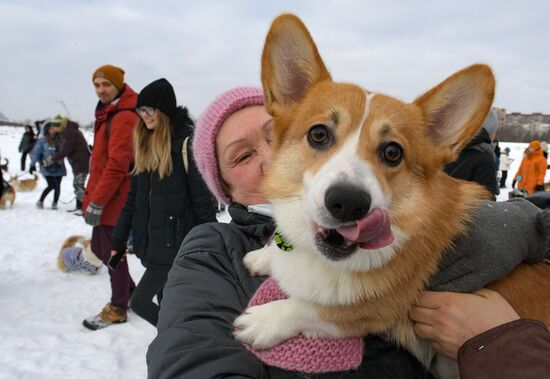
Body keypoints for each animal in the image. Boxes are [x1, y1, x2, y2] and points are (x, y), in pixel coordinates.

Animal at [235, 14, 550, 368]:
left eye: (392, 152)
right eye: (318, 134)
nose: (349, 202)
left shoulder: (374, 309)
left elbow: (312, 308)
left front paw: (264, 320)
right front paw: (264, 256)